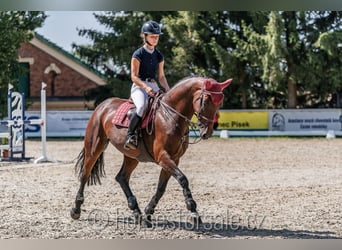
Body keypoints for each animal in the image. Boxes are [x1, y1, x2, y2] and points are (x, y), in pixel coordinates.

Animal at [70, 75, 232, 227]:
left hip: (132, 156)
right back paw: (76, 210)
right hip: (95, 146)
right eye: (205, 101)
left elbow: (161, 188)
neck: (170, 116)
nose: (207, 132)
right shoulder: (163, 157)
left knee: (122, 177)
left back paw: (137, 213)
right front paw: (194, 213)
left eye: (220, 103)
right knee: (85, 174)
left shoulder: (173, 159)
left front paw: (148, 213)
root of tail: (102, 105)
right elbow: (183, 179)